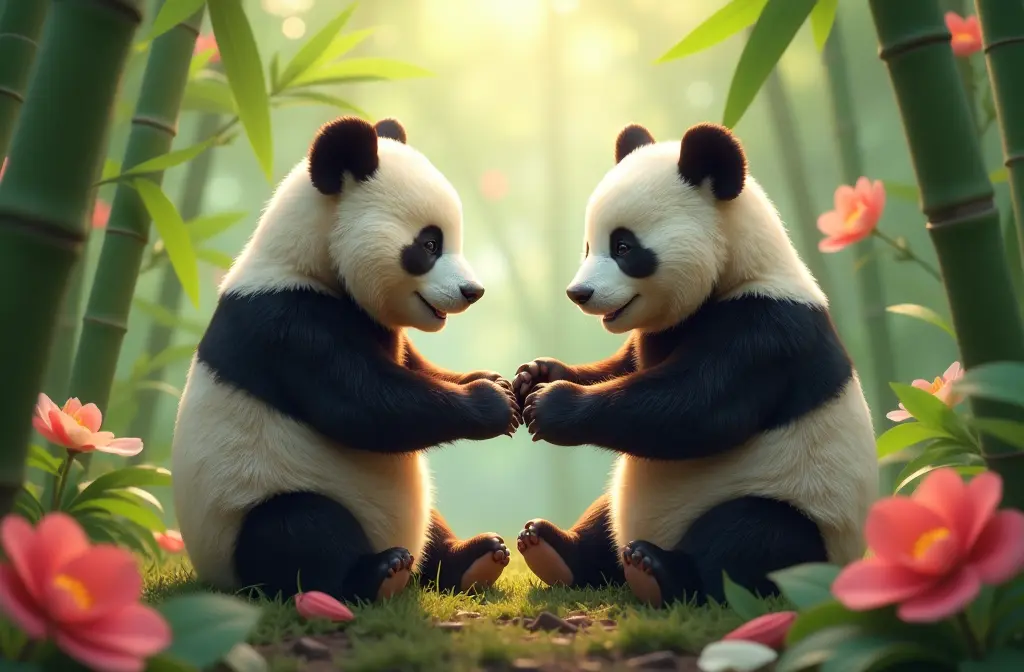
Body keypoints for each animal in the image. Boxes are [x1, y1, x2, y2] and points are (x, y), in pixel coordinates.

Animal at [171, 116, 520, 605]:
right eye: (429, 244)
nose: (473, 291)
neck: (307, 260)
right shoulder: (286, 324)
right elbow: (363, 404)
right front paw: (493, 402)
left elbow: (413, 371)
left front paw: (498, 381)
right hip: (247, 511)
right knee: (295, 530)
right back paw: (377, 572)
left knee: (431, 522)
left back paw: (474, 558)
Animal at [511, 122, 877, 607]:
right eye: (589, 246)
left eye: (624, 246)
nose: (579, 293)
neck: (739, 270)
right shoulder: (663, 331)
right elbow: (627, 369)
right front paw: (535, 375)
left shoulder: (767, 330)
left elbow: (699, 408)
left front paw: (550, 405)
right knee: (603, 515)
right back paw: (554, 549)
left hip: (804, 516)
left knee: (753, 536)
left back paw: (658, 570)